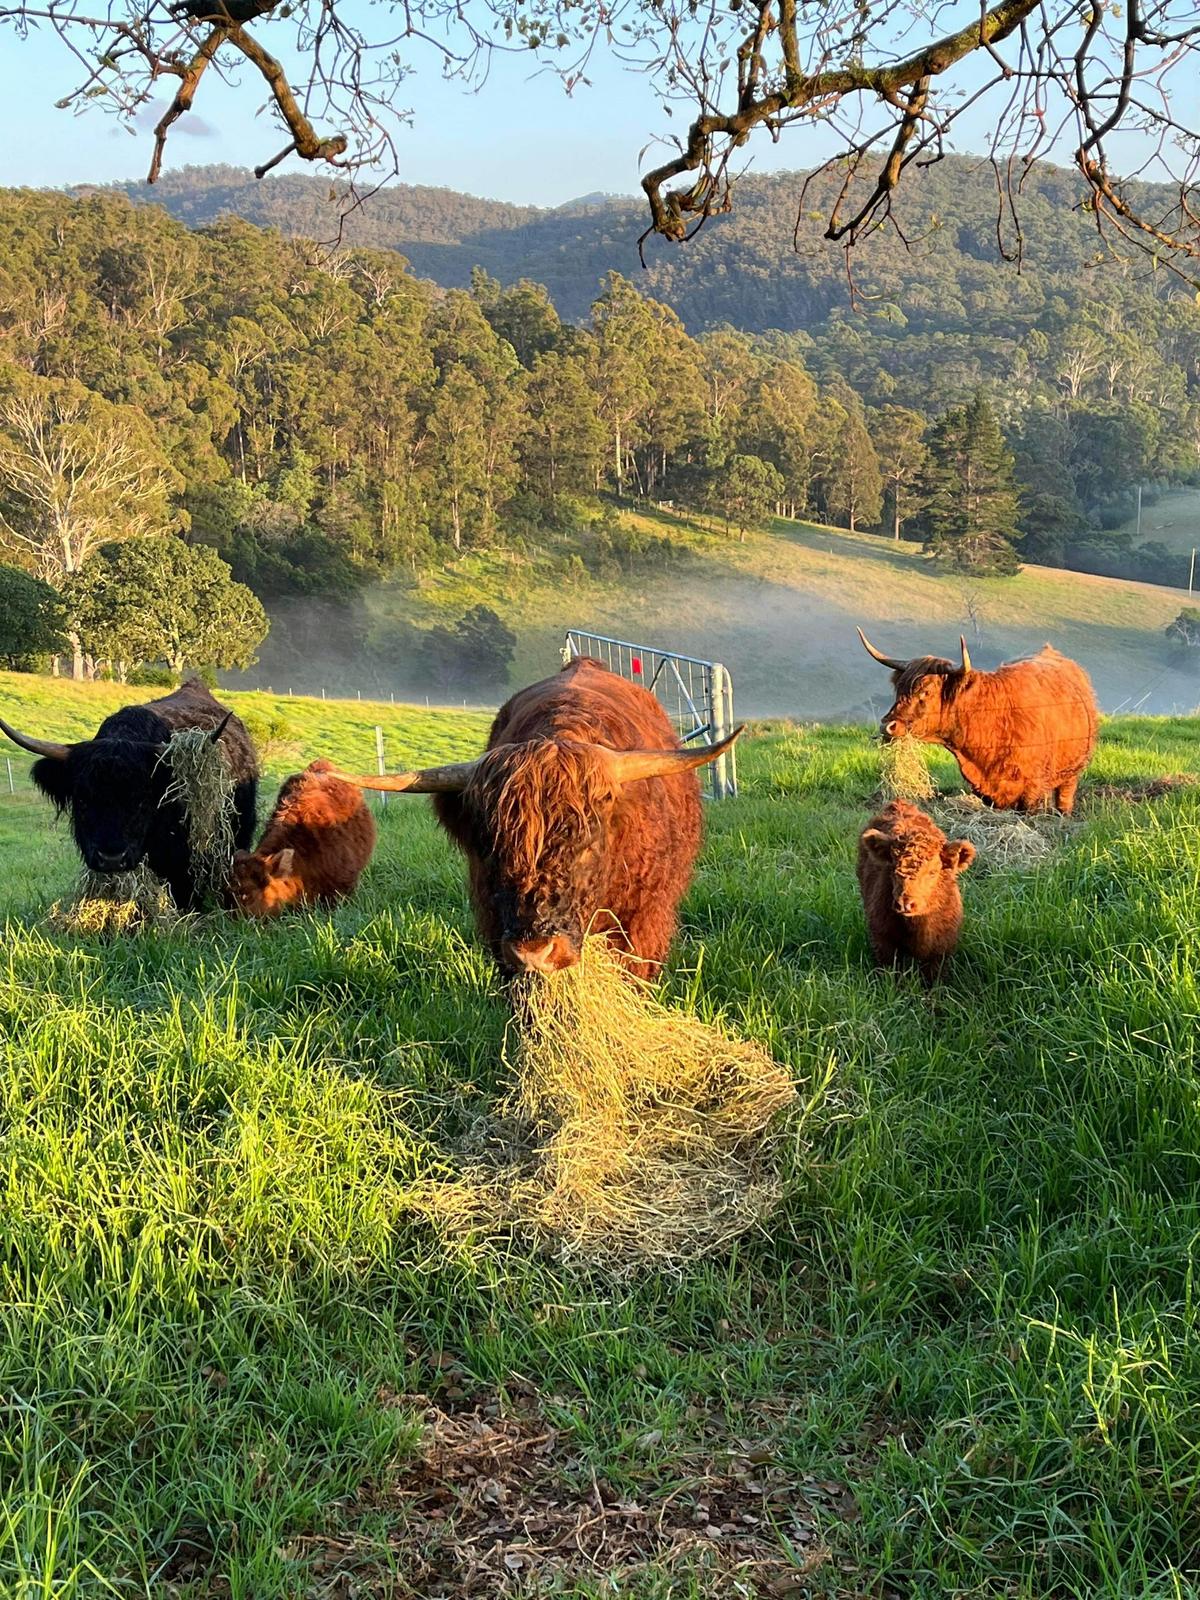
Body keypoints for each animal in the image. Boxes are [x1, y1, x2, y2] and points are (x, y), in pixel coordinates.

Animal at [858, 630, 1098, 814]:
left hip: (1071, 774)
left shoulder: (1032, 791)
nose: (887, 726)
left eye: (925, 691)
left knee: (1064, 800)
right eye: (899, 689)